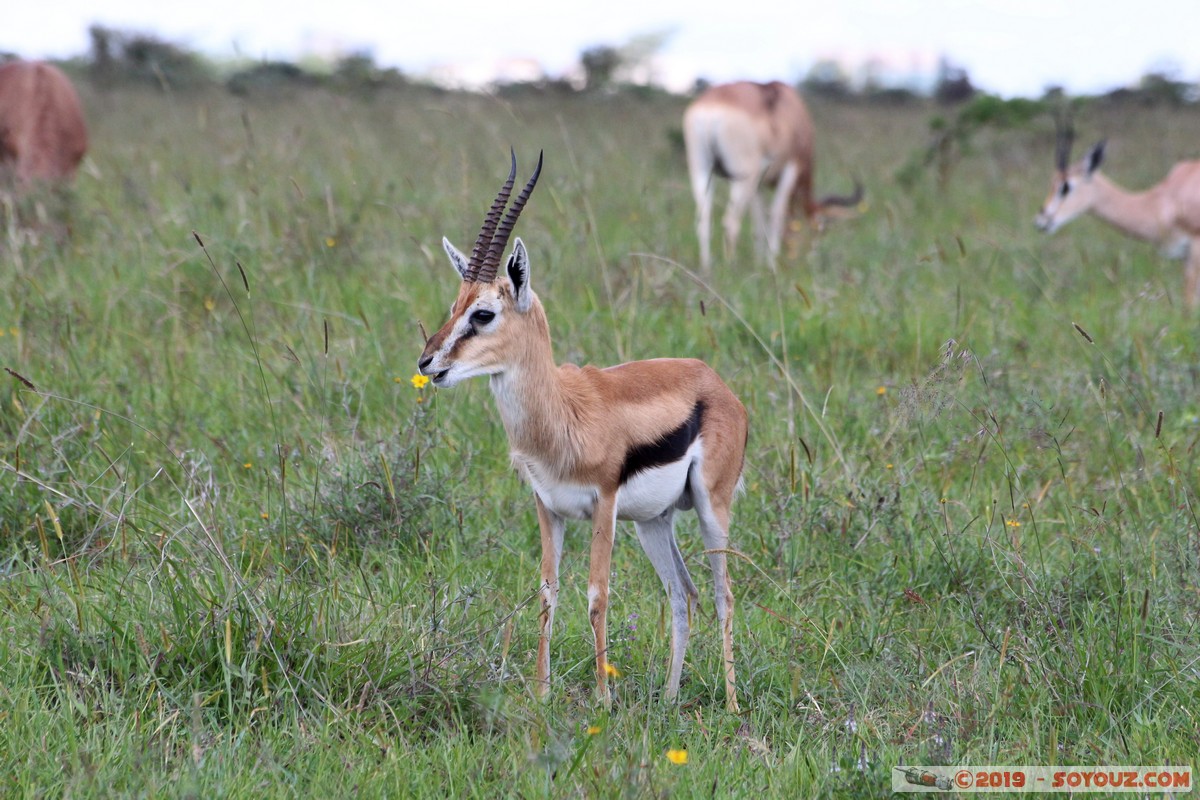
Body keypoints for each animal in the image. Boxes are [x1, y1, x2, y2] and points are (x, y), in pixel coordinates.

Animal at [417, 152, 748, 711]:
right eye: (454, 308)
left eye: (483, 314)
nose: (428, 362)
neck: (560, 413)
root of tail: (715, 381)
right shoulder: (548, 507)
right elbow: (547, 594)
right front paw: (541, 694)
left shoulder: (604, 506)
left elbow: (597, 596)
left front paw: (603, 701)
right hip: (653, 522)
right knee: (683, 593)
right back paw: (668, 699)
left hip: (710, 508)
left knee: (723, 595)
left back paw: (729, 705)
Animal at [683, 80, 862, 269]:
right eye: (820, 227)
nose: (812, 259)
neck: (793, 110)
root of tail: (714, 105)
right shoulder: (791, 169)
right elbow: (777, 214)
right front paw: (772, 264)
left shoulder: (758, 185)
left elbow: (759, 224)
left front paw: (759, 264)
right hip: (744, 178)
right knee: (730, 222)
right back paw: (731, 268)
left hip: (702, 170)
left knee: (703, 221)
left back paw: (706, 268)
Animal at [1035, 128, 1200, 309]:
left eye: (1065, 187)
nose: (1042, 221)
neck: (1162, 201)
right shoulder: (1184, 258)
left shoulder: (1194, 251)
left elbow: (1189, 303)